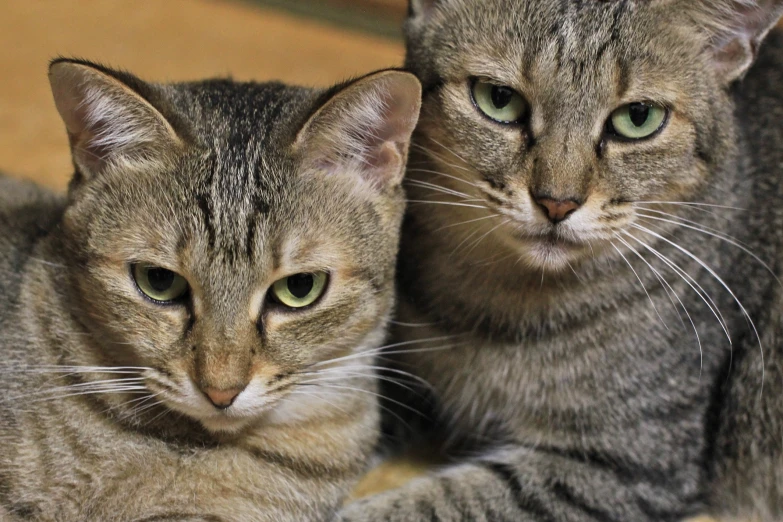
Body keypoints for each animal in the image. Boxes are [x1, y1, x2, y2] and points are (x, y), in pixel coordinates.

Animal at [344, 1, 783, 520]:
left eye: (638, 118)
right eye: (498, 99)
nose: (557, 203)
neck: (498, 308)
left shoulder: (628, 463)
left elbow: (438, 503)